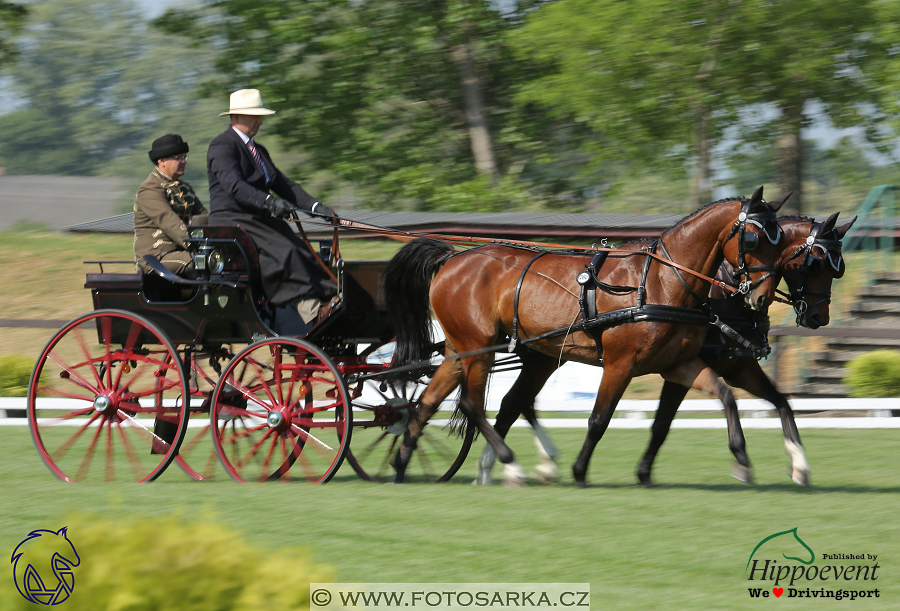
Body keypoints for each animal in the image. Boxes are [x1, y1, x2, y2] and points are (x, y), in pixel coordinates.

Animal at [384, 189, 784, 486]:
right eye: (753, 238)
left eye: (779, 242)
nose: (762, 297)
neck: (661, 280)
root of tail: (453, 258)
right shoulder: (621, 364)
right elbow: (599, 418)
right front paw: (579, 470)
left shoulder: (678, 364)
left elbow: (723, 396)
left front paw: (742, 459)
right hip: (478, 349)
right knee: (473, 405)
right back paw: (510, 464)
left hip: (461, 351)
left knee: (430, 403)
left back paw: (403, 466)